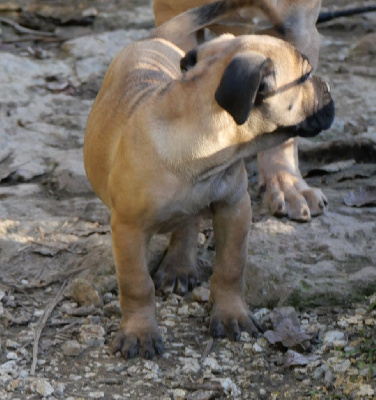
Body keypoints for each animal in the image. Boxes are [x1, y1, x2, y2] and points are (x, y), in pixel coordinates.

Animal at [83, 0, 334, 360]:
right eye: (306, 76)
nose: (328, 88)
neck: (205, 150)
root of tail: (153, 39)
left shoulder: (234, 208)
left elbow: (230, 267)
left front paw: (231, 315)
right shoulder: (128, 229)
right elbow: (136, 284)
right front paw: (139, 332)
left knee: (188, 223)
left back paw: (180, 264)